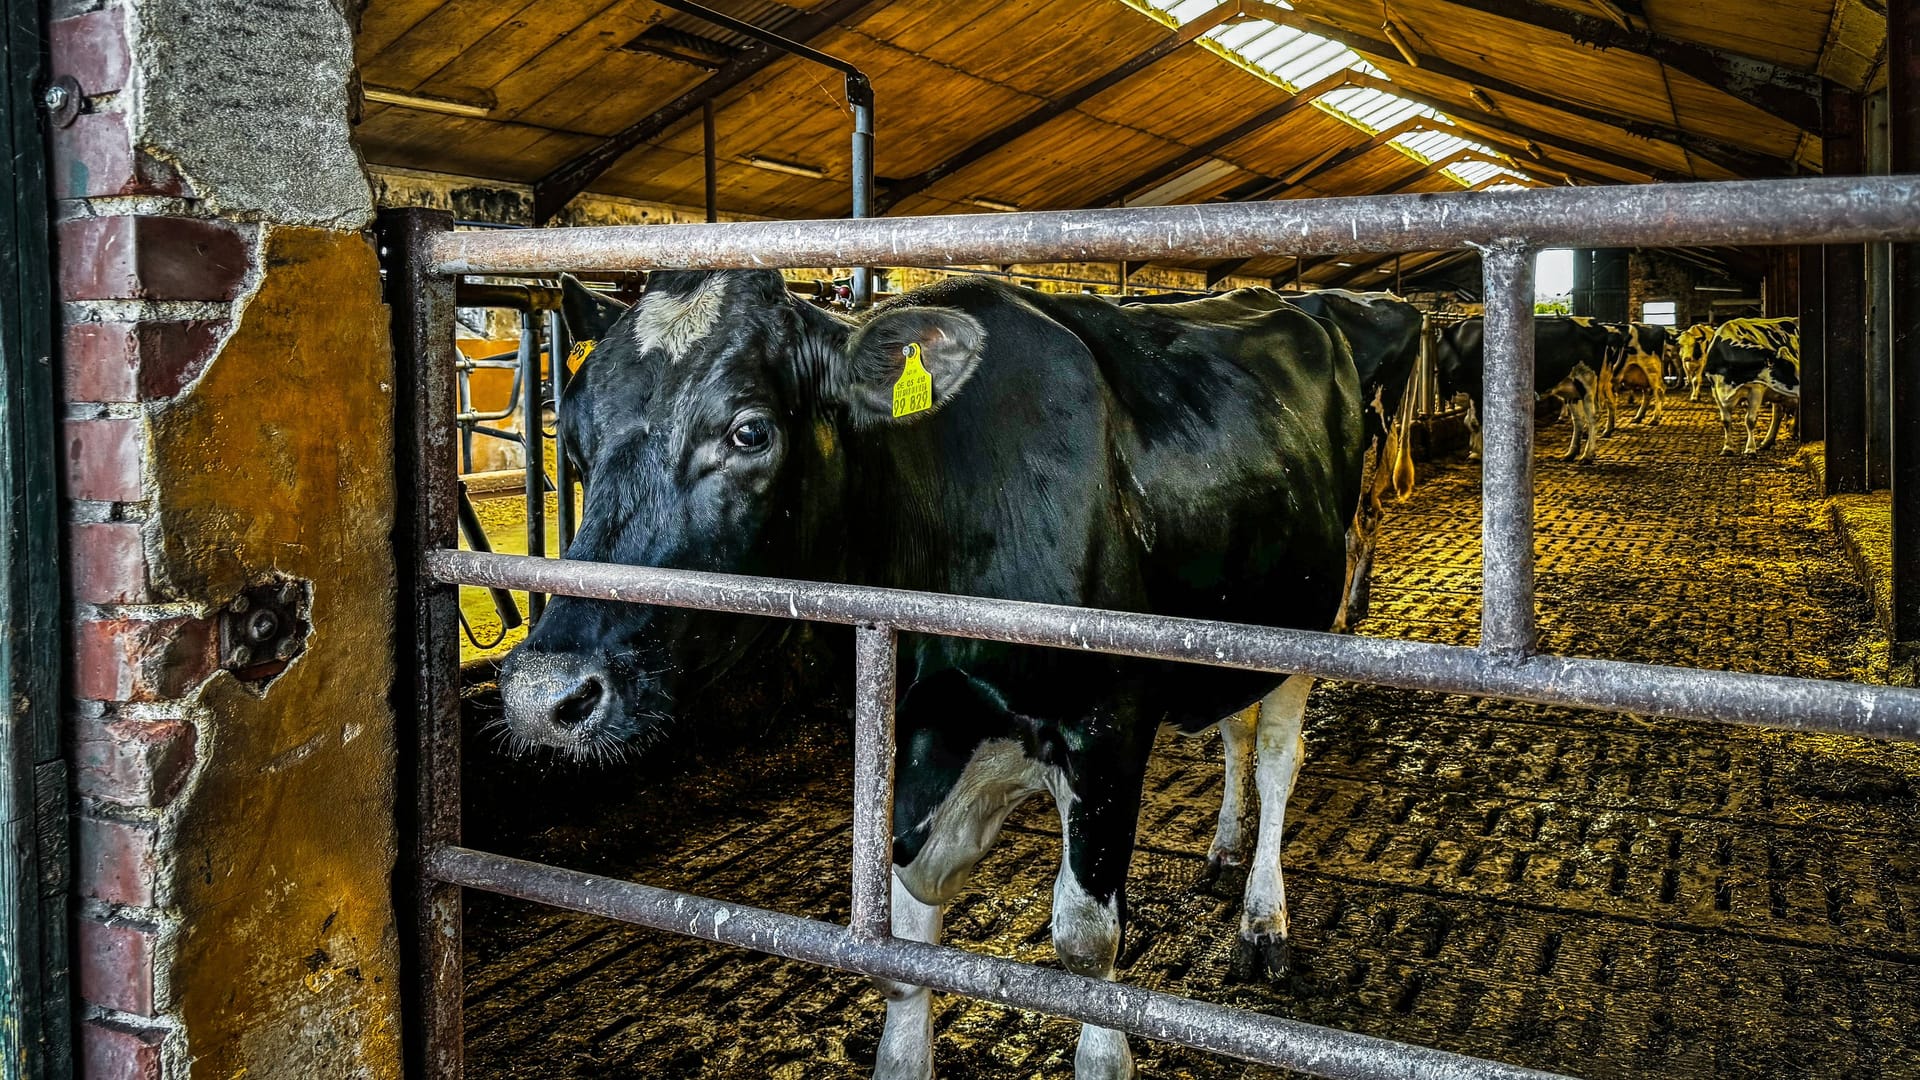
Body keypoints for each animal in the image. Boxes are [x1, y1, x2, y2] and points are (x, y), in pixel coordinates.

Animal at [510, 270, 1374, 1076]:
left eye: (749, 431)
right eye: (573, 441)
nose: (541, 693)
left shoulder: (1109, 725)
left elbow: (1087, 945)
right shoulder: (906, 735)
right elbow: (903, 947)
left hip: (1314, 617)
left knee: (1276, 757)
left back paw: (1263, 919)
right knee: (1233, 727)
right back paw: (1223, 849)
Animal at [1436, 313, 1612, 461]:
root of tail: (1595, 324)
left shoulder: (1478, 390)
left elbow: (1475, 421)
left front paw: (1479, 453)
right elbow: (1469, 421)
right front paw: (1475, 451)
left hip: (1587, 380)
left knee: (1593, 416)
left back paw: (1588, 455)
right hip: (1571, 388)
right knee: (1578, 419)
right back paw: (1571, 453)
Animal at [1712, 317, 1797, 455]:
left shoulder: (1756, 389)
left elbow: (1750, 420)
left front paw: (1750, 449)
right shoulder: (1716, 391)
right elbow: (1726, 420)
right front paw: (1727, 447)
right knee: (1778, 413)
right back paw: (1768, 442)